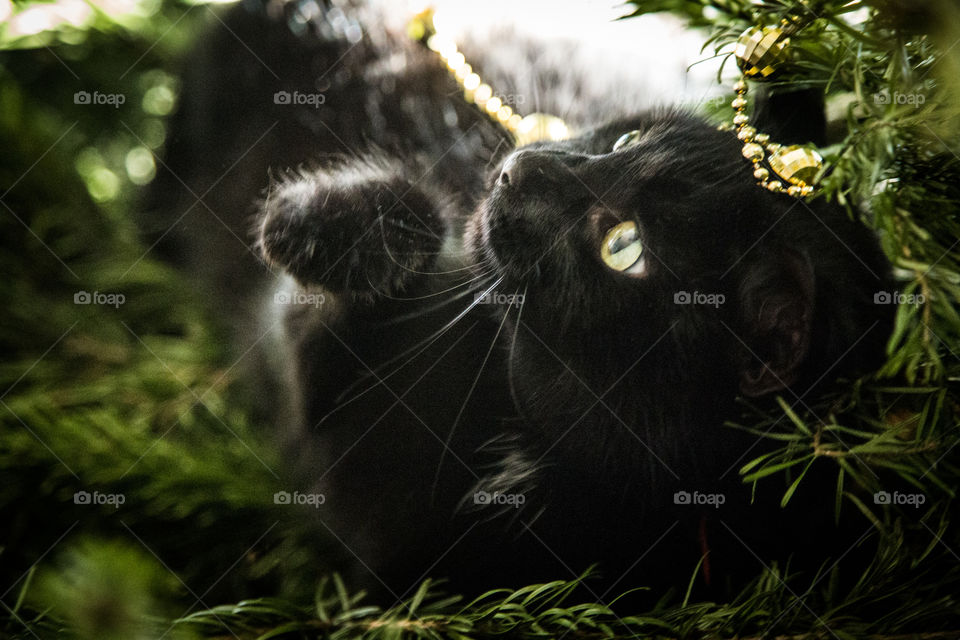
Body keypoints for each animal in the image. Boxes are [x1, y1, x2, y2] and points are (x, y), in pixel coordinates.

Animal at [146, 0, 896, 608]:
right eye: (625, 138)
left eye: (625, 245)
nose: (522, 164)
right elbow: (405, 224)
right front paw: (316, 222)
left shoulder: (355, 490)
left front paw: (310, 227)